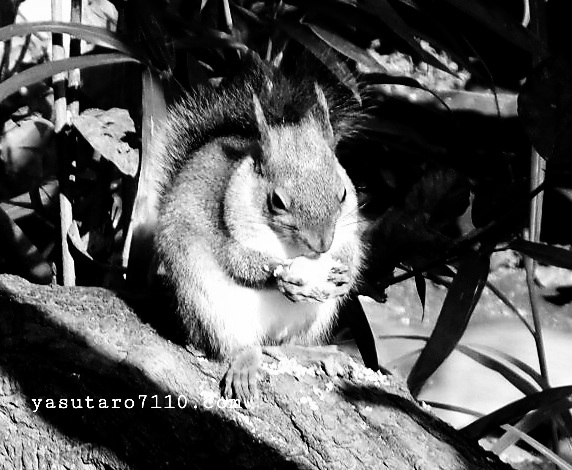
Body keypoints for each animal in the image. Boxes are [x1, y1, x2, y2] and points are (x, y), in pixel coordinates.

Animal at [153, 58, 365, 402]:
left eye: (343, 193)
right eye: (277, 201)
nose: (322, 244)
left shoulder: (348, 231)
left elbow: (353, 252)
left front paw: (344, 274)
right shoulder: (229, 233)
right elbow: (238, 262)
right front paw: (281, 277)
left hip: (312, 319)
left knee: (282, 346)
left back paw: (317, 353)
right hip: (208, 305)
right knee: (237, 347)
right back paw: (244, 363)